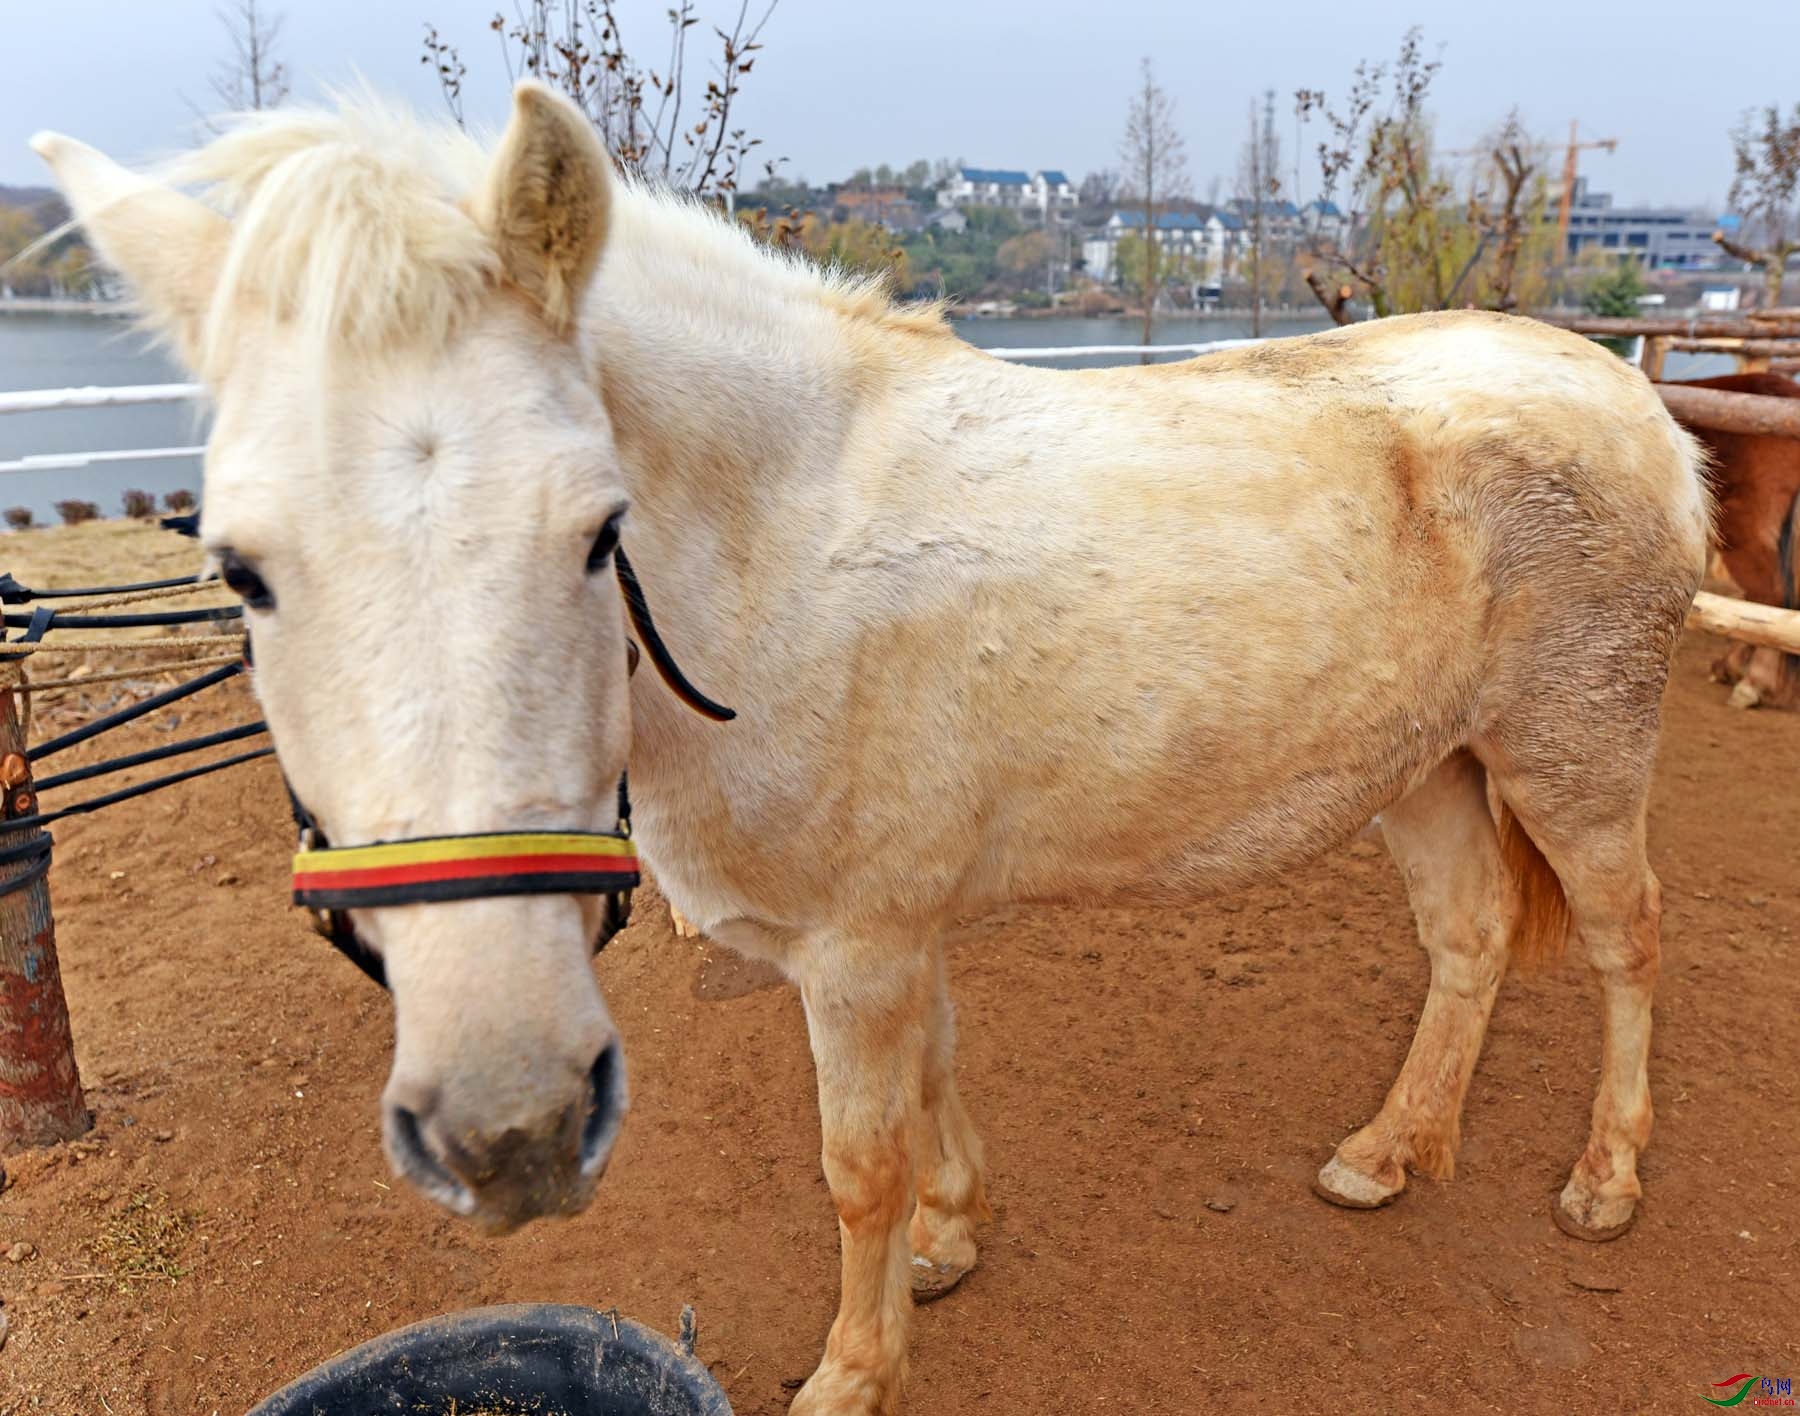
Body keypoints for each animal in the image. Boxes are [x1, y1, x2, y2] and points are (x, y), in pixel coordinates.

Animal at [35, 88, 1706, 1416]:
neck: (786, 550)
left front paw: (856, 1367)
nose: (510, 1123)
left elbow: (859, 1164)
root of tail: (1635, 397)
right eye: (238, 567)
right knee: (1470, 938)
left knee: (1626, 940)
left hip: (1570, 755)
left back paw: (1610, 1181)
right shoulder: (904, 935)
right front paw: (953, 1242)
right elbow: (936, 1088)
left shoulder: (857, 952)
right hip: (1424, 767)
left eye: (597, 530)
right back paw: (1390, 1150)